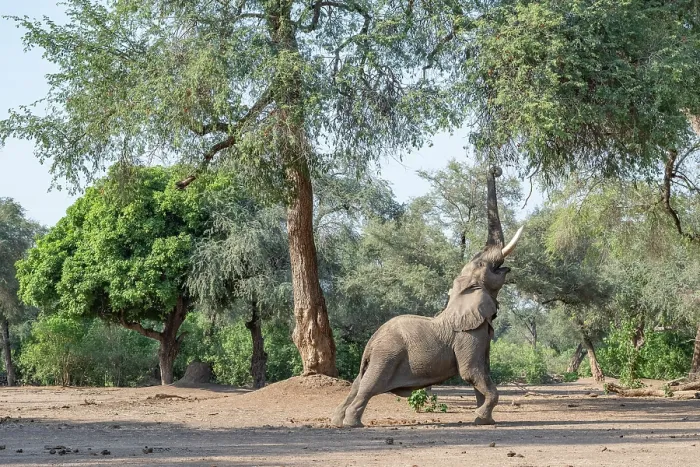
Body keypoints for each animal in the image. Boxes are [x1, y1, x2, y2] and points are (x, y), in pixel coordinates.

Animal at [332, 167, 523, 428]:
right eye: (485, 265)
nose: (494, 168)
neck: (460, 294)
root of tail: (371, 341)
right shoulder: (468, 335)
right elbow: (471, 372)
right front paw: (481, 417)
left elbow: (481, 373)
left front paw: (483, 420)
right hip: (386, 356)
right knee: (368, 387)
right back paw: (353, 424)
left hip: (378, 357)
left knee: (357, 384)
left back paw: (337, 421)